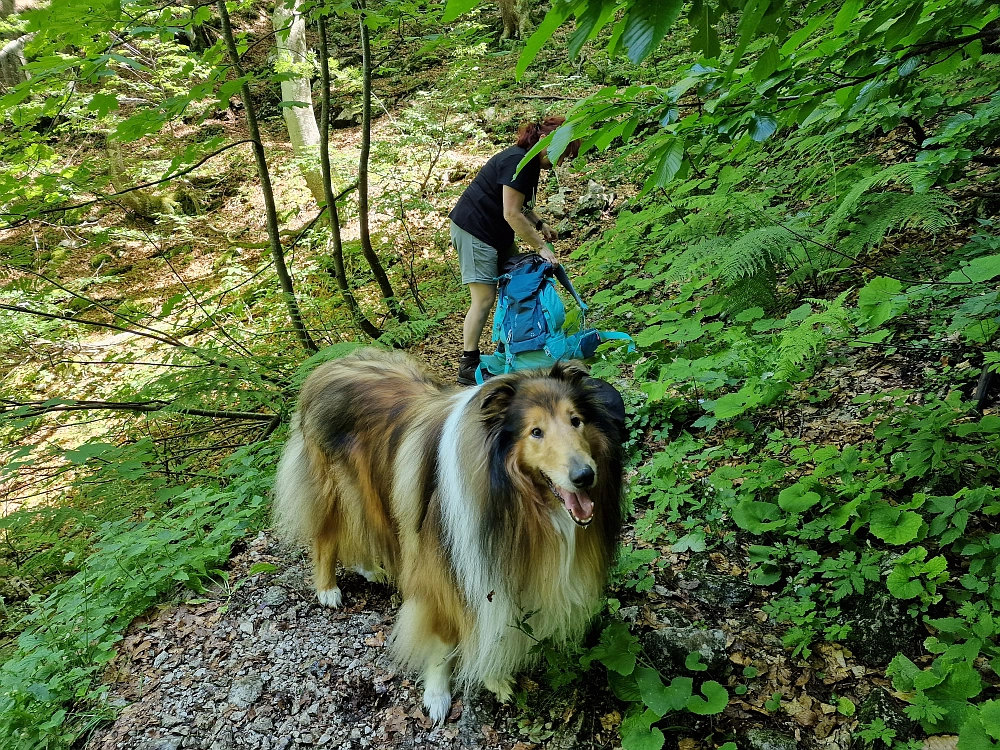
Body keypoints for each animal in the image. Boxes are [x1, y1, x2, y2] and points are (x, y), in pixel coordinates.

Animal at [272, 350, 616, 724]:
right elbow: (443, 639)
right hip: (335, 490)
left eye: (576, 421)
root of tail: (327, 365)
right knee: (327, 537)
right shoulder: (444, 570)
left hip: (370, 494)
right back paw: (328, 590)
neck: (508, 497)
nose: (585, 476)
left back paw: (370, 569)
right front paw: (437, 695)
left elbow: (494, 628)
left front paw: (493, 678)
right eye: (535, 432)